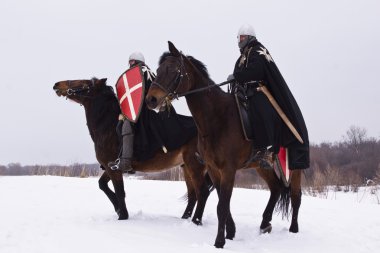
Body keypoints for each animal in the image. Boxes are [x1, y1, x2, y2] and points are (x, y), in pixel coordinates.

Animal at [53, 77, 212, 223]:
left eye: (83, 83)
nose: (57, 85)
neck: (108, 126)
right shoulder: (111, 167)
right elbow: (102, 185)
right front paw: (118, 209)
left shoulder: (115, 170)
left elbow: (120, 192)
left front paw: (122, 215)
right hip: (186, 167)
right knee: (193, 195)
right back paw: (185, 218)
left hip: (194, 165)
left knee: (202, 192)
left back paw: (196, 221)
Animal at [145, 42, 302, 249]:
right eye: (158, 70)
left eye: (174, 70)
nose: (151, 100)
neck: (217, 117)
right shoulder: (213, 168)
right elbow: (222, 201)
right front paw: (231, 232)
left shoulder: (228, 169)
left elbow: (222, 205)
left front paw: (219, 241)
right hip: (263, 165)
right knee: (276, 188)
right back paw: (265, 224)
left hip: (294, 166)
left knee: (296, 196)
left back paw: (293, 230)